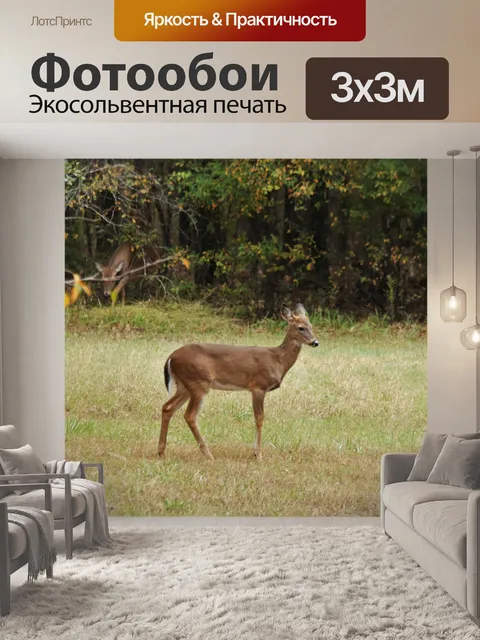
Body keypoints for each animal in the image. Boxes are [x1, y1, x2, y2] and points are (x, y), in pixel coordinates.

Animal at [158, 304, 318, 461]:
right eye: (300, 327)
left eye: (311, 325)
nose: (315, 342)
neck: (278, 359)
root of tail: (171, 357)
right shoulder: (258, 386)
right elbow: (259, 418)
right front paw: (258, 455)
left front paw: (255, 453)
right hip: (198, 382)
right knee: (190, 415)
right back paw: (208, 455)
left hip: (184, 385)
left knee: (167, 407)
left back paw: (161, 452)